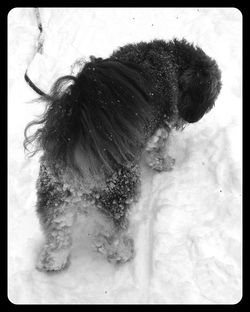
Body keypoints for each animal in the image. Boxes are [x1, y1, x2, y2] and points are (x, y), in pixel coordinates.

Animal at [24, 39, 222, 272]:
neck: (171, 60)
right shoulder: (159, 128)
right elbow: (157, 151)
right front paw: (164, 163)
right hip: (118, 196)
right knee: (111, 235)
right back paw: (123, 253)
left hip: (55, 202)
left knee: (58, 235)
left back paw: (53, 261)